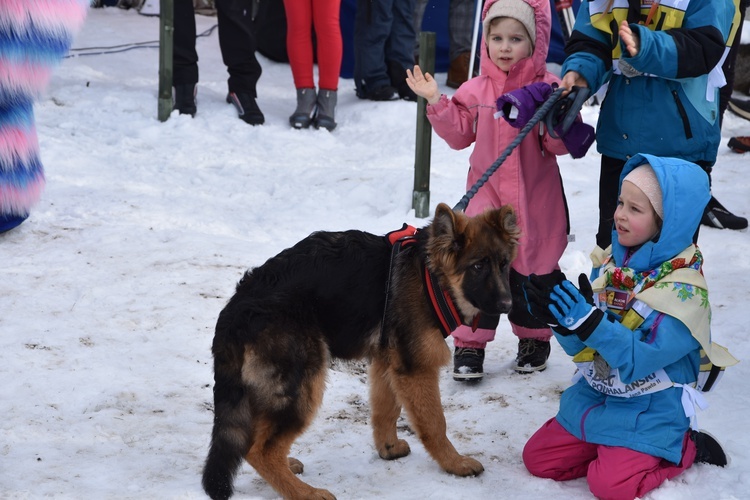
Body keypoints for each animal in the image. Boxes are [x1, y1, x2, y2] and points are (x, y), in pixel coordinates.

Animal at [203, 203, 520, 500]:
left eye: (504, 264)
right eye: (477, 267)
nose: (508, 305)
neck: (429, 275)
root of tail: (236, 309)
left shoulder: (386, 362)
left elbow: (386, 410)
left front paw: (388, 448)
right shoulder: (416, 369)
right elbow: (435, 423)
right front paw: (454, 463)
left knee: (256, 442)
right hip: (302, 386)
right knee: (260, 450)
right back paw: (305, 492)